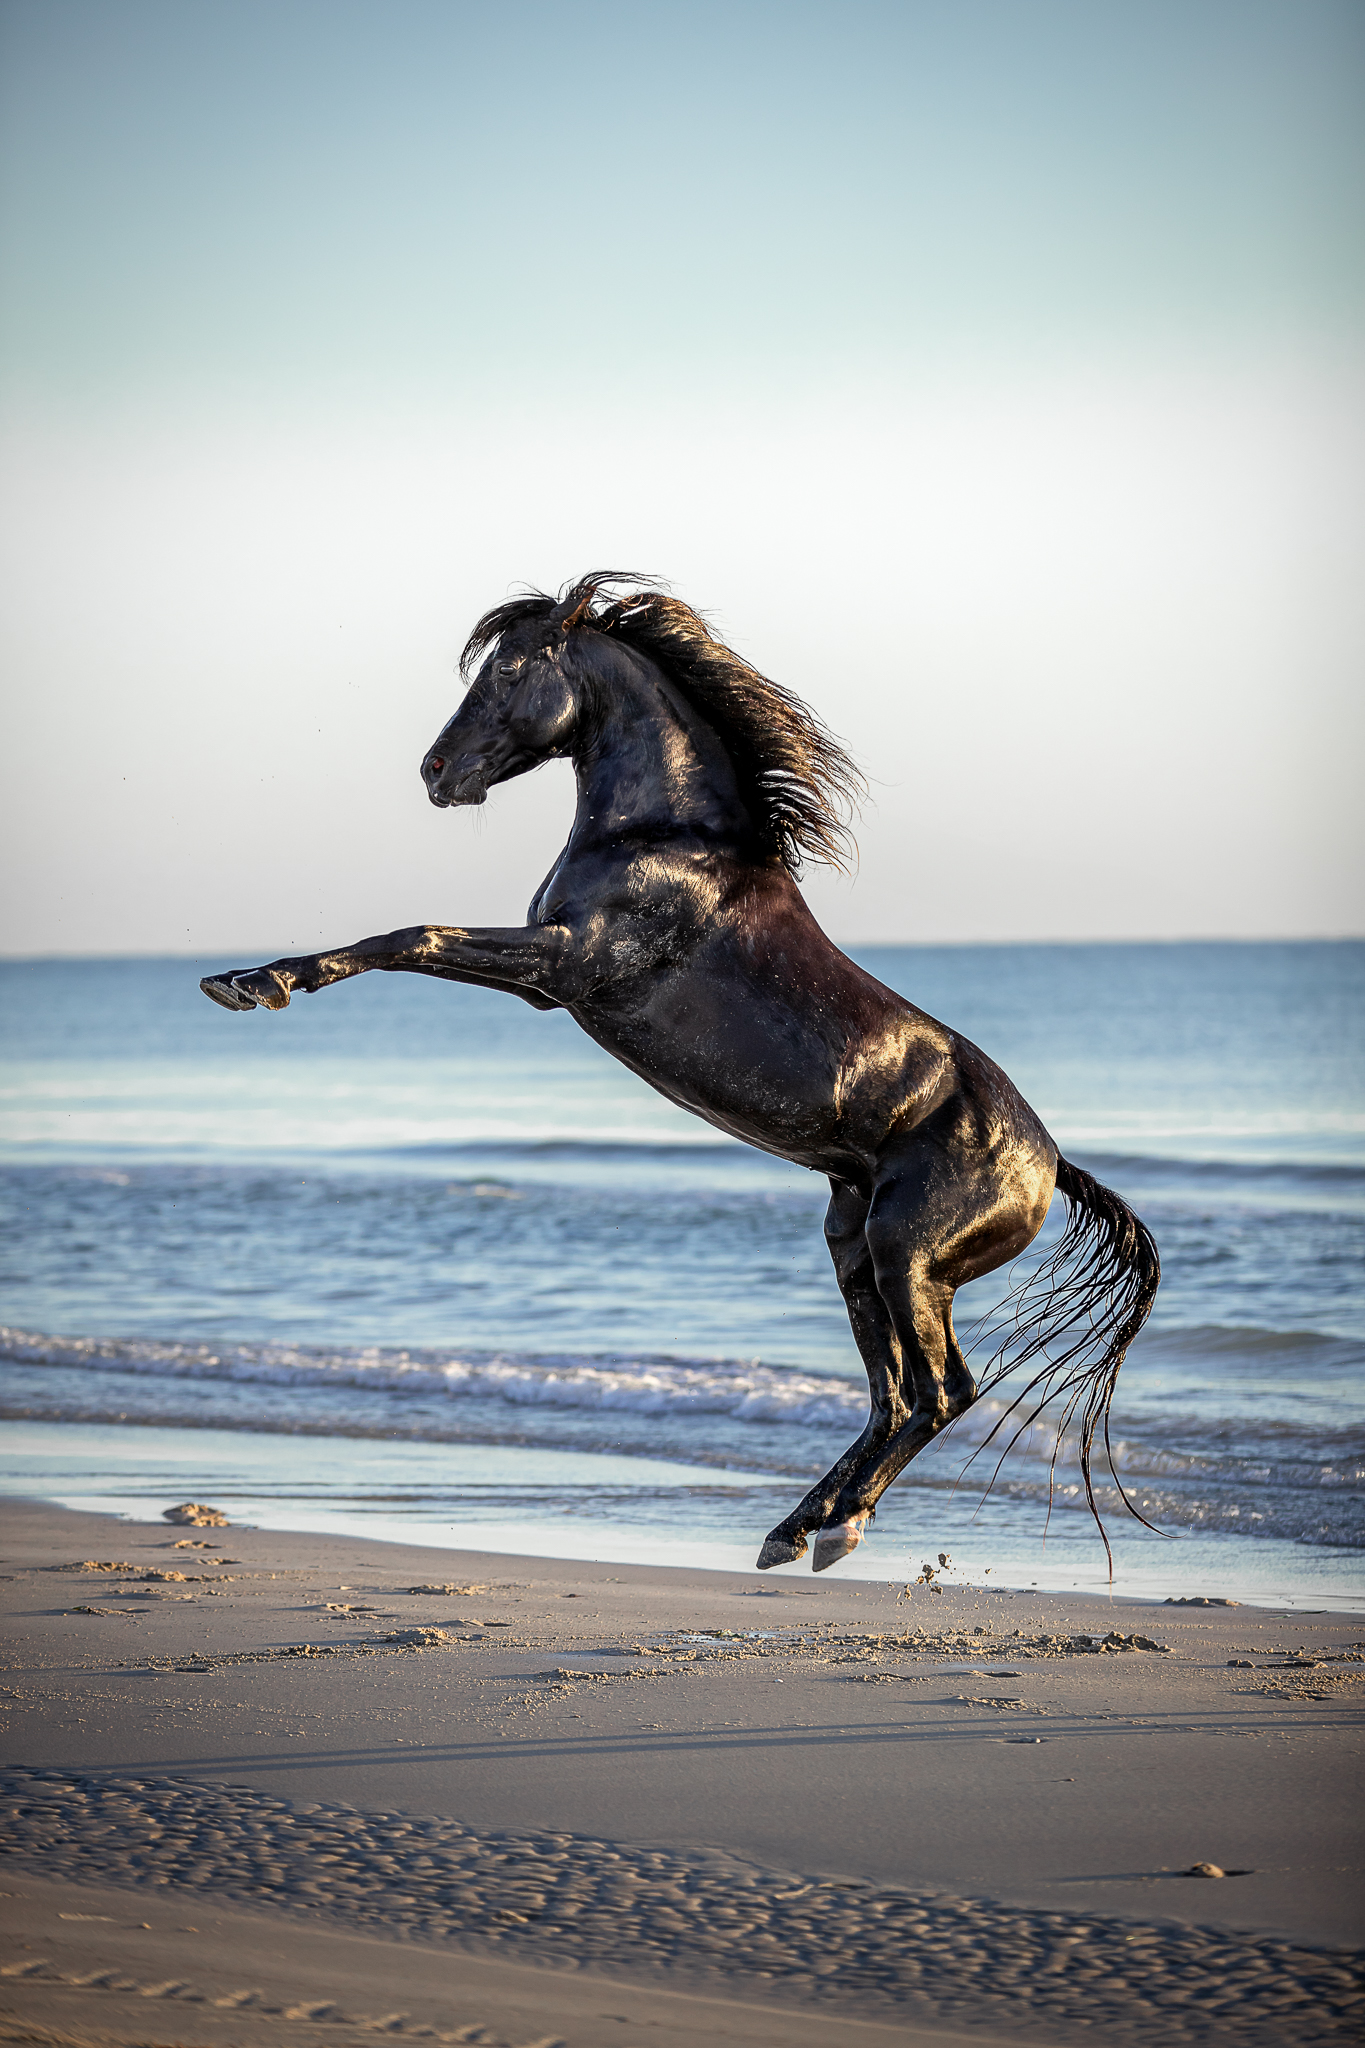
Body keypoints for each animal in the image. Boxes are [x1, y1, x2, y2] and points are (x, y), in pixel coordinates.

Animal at [205, 573, 1162, 1564]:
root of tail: (1049, 1165)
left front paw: (258, 983)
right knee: (892, 1395)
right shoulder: (549, 976)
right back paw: (802, 1526)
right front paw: (242, 978)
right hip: (854, 1250)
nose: (436, 772)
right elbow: (409, 938)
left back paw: (833, 1527)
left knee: (941, 1393)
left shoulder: (561, 968)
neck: (664, 836)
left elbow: (410, 935)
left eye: (508, 668)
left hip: (908, 1256)